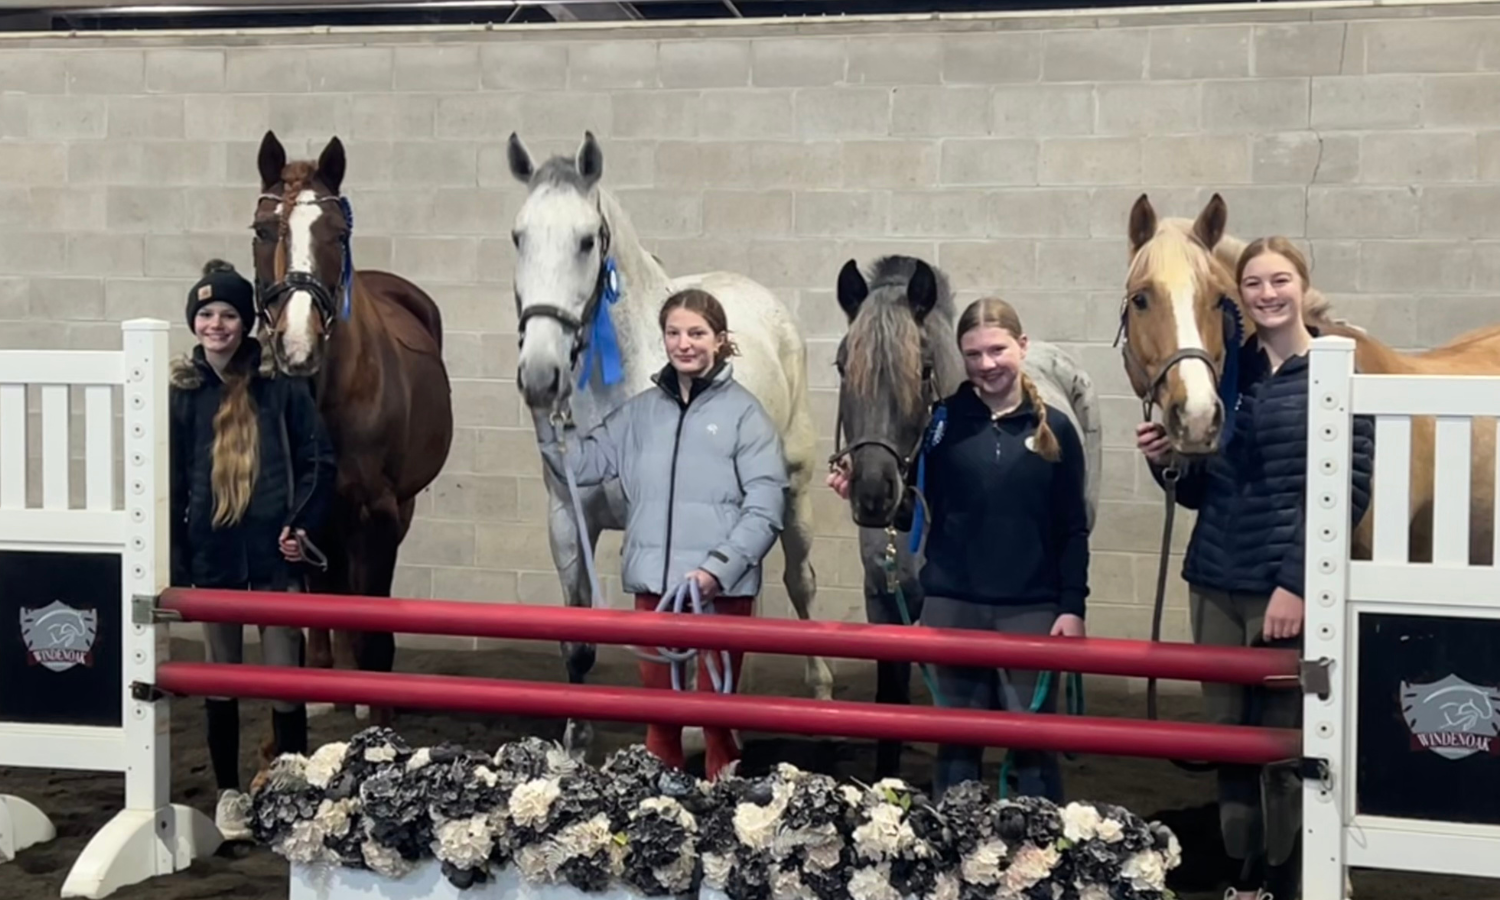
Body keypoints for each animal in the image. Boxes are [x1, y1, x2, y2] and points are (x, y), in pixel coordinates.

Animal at [249, 130, 454, 739]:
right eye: (262, 230)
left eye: (337, 234)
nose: (296, 347)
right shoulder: (298, 513)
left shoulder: (379, 513)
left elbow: (373, 625)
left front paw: (379, 712)